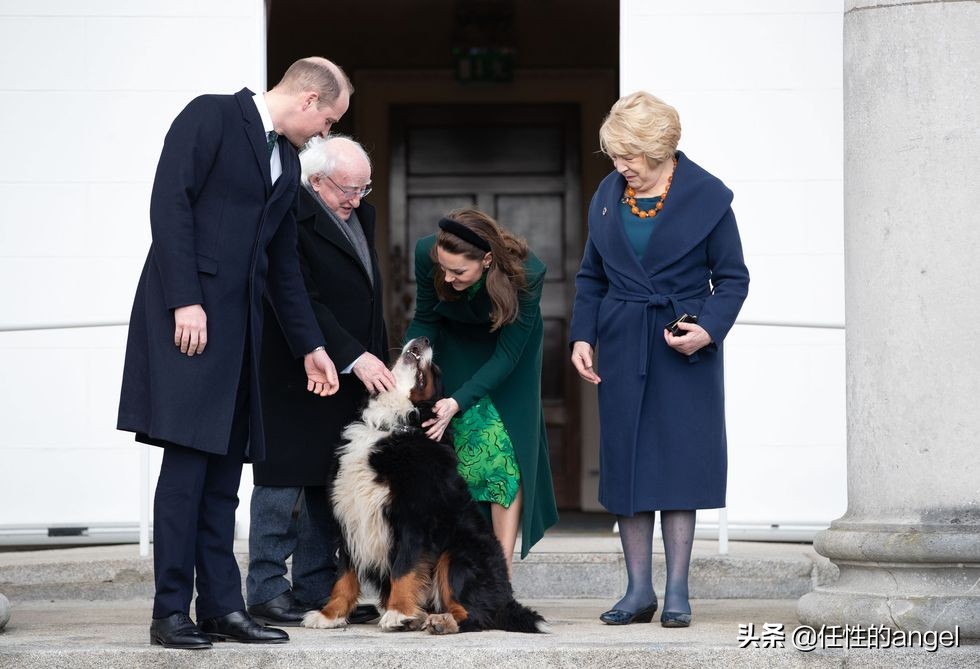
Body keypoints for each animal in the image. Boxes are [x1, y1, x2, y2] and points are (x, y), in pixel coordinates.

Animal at [302, 336, 548, 636]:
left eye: (435, 371)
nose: (425, 338)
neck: (390, 426)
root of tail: (506, 598)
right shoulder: (350, 517)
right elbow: (344, 577)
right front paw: (330, 615)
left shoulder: (413, 518)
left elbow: (405, 567)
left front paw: (397, 612)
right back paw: (421, 618)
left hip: (458, 554)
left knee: (475, 615)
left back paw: (441, 621)